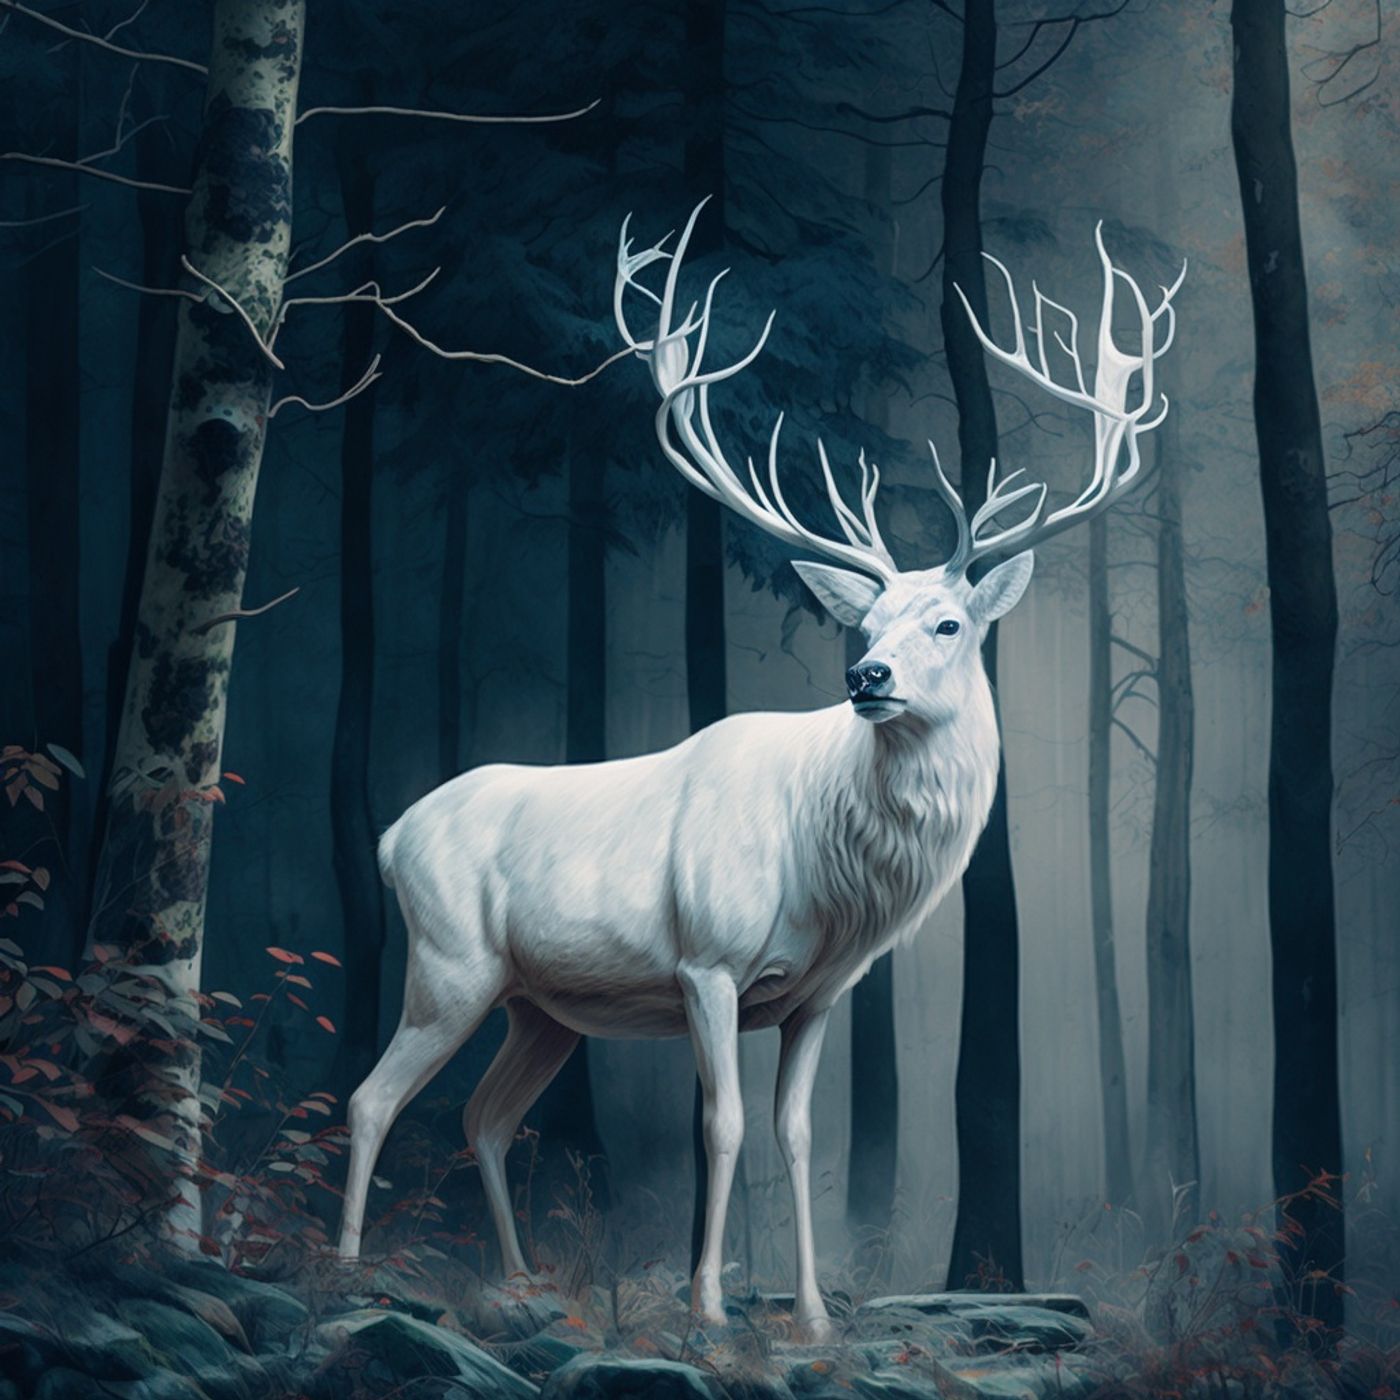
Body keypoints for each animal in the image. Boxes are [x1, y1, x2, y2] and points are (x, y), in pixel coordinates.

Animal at [336, 201, 1183, 1341]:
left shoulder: (819, 994)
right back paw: (338, 1267)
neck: (834, 875)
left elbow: (794, 1135)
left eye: (948, 622)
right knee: (374, 1096)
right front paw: (709, 1307)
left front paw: (814, 1314)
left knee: (484, 1114)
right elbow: (722, 1125)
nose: (866, 674)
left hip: (539, 1002)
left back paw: (517, 1280)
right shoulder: (706, 959)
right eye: (865, 621)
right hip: (448, 961)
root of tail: (390, 833)